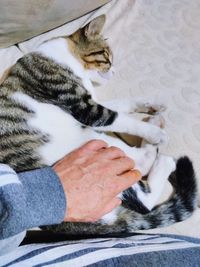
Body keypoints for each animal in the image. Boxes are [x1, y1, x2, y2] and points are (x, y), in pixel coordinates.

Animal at [0, 15, 197, 237]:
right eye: (107, 58)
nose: (115, 71)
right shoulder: (86, 108)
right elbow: (118, 117)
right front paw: (154, 133)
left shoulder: (93, 102)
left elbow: (122, 105)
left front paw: (151, 105)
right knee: (143, 195)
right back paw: (163, 154)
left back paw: (155, 123)